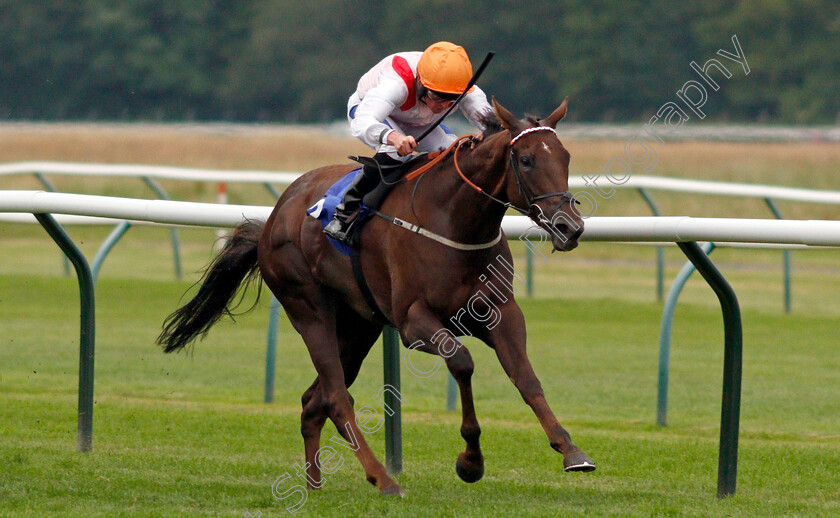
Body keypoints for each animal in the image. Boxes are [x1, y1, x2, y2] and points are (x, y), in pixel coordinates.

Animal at [156, 99, 592, 498]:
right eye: (526, 159)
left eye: (566, 156)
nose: (569, 228)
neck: (455, 221)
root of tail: (275, 216)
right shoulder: (413, 323)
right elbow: (462, 363)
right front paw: (470, 461)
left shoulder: (501, 312)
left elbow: (525, 377)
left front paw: (571, 450)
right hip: (309, 309)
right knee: (336, 397)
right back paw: (383, 479)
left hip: (358, 326)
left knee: (313, 400)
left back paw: (314, 485)